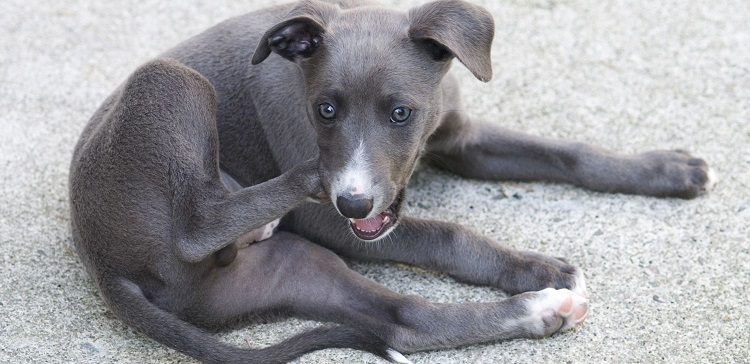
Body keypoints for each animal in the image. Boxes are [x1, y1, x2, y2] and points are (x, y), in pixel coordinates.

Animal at [69, 0, 712, 364]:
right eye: (324, 109)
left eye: (401, 112)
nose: (353, 200)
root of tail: (105, 265)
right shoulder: (334, 222)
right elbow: (448, 234)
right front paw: (536, 267)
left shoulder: (463, 140)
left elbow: (565, 153)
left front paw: (666, 169)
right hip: (170, 82)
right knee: (199, 221)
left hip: (292, 267)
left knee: (404, 322)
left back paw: (541, 313)